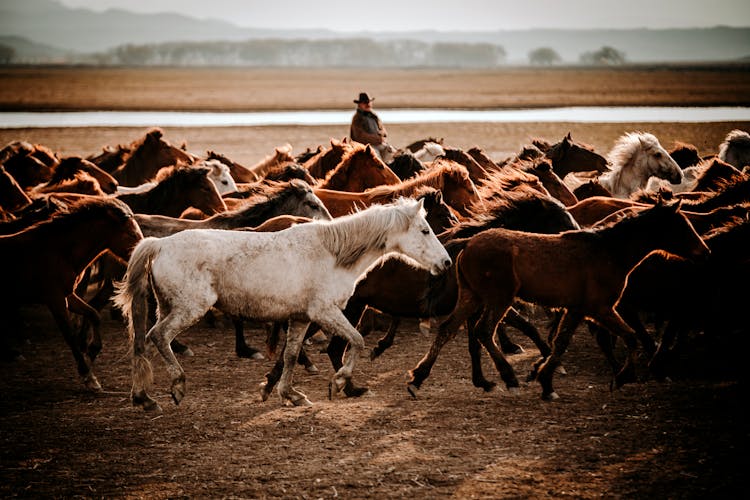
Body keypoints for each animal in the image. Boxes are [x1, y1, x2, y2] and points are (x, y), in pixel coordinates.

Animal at [0, 199, 143, 390]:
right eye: (131, 234)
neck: (59, 252)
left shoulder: (69, 296)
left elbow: (93, 314)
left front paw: (92, 349)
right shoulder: (55, 300)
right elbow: (69, 335)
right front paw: (87, 375)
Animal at [113, 197, 452, 412]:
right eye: (425, 230)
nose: (446, 262)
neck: (333, 254)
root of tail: (159, 244)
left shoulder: (301, 318)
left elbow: (289, 356)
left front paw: (291, 395)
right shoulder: (325, 312)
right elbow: (356, 341)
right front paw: (338, 383)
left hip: (166, 306)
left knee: (143, 344)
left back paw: (144, 398)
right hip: (189, 309)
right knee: (158, 336)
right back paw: (177, 386)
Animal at [412, 197, 712, 400]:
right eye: (682, 226)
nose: (705, 251)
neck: (608, 252)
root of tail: (469, 243)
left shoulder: (577, 310)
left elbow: (561, 342)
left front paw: (545, 380)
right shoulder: (601, 309)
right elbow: (629, 337)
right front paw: (622, 376)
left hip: (473, 298)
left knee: (449, 329)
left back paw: (419, 378)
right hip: (498, 300)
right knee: (483, 331)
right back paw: (508, 377)